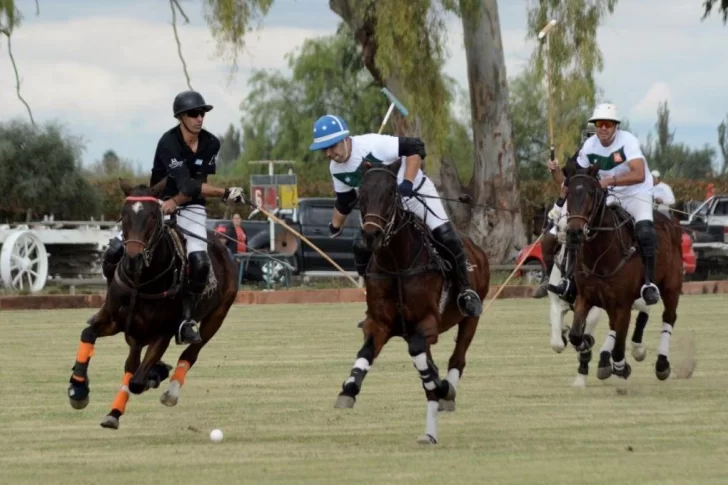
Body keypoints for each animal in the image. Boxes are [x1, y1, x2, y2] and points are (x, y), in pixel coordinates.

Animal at [66, 178, 237, 428]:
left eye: (153, 216)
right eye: (123, 213)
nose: (133, 259)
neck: (142, 280)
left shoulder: (162, 333)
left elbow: (137, 382)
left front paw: (154, 375)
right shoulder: (114, 320)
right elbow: (88, 333)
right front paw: (78, 389)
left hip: (217, 316)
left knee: (190, 353)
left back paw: (169, 390)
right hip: (136, 332)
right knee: (131, 362)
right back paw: (114, 412)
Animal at [334, 161, 492, 444]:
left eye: (391, 194)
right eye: (361, 196)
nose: (371, 235)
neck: (397, 263)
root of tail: (475, 246)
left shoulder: (428, 322)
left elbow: (422, 357)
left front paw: (442, 386)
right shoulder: (380, 324)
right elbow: (365, 353)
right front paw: (348, 390)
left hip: (471, 317)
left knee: (457, 357)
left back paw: (445, 394)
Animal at [564, 163, 684, 382]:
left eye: (591, 193)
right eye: (568, 193)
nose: (574, 232)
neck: (600, 254)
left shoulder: (622, 304)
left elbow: (619, 346)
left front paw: (620, 366)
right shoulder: (586, 297)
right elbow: (576, 335)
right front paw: (586, 346)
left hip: (671, 286)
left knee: (669, 317)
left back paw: (661, 364)